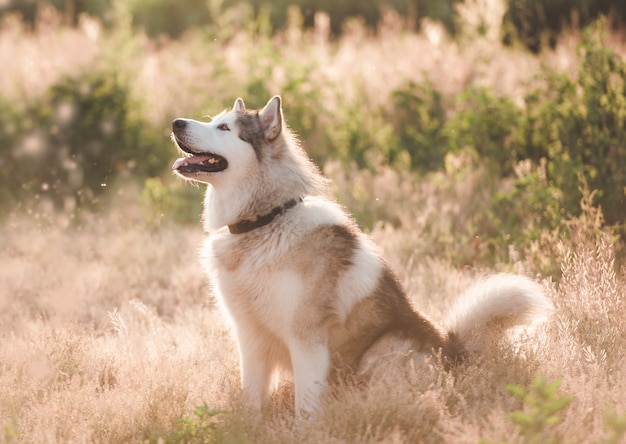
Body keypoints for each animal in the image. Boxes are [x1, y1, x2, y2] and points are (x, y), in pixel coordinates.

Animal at [171, 95, 552, 418]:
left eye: (224, 128)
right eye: (214, 121)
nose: (175, 122)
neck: (265, 222)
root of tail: (454, 354)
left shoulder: (307, 340)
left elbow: (305, 407)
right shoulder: (249, 336)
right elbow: (251, 397)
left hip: (385, 349)